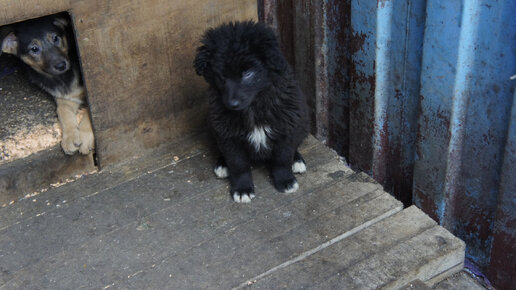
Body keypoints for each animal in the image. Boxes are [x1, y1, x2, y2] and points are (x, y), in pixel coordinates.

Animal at [1, 15, 93, 156]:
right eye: (34, 49)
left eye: (55, 38)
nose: (61, 65)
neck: (62, 78)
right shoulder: (66, 98)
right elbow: (62, 111)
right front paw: (70, 137)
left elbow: (91, 113)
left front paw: (85, 136)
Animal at [192, 21, 306, 203]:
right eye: (222, 75)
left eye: (248, 73)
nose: (233, 103)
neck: (253, 106)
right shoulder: (227, 134)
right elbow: (238, 164)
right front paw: (242, 189)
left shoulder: (286, 127)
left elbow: (282, 158)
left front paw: (285, 181)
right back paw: (222, 164)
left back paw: (297, 160)